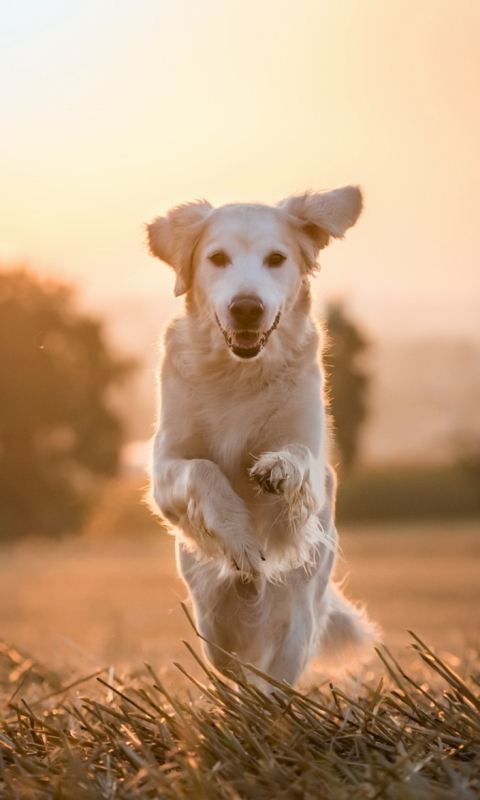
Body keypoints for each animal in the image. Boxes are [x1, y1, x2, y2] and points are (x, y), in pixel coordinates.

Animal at [146, 186, 376, 688]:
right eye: (217, 258)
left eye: (276, 259)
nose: (247, 308)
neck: (239, 373)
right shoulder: (165, 467)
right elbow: (203, 470)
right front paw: (239, 538)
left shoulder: (310, 456)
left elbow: (298, 460)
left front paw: (278, 471)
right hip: (213, 623)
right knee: (234, 672)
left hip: (298, 616)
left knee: (274, 680)